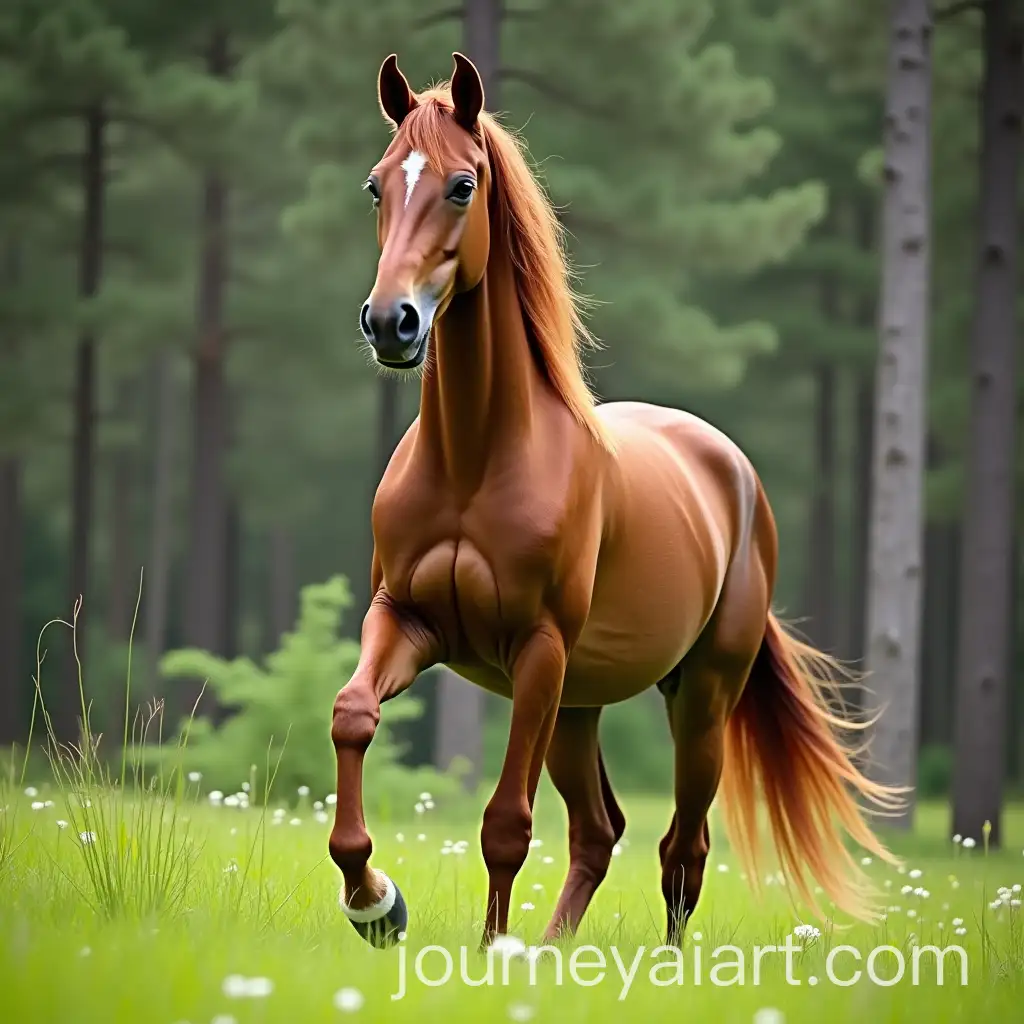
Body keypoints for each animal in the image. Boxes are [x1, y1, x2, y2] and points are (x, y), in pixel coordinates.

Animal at [328, 52, 903, 950]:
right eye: (376, 185)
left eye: (462, 185)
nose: (392, 323)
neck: (474, 461)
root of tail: (735, 474)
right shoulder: (407, 620)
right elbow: (352, 716)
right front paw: (375, 900)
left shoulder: (537, 648)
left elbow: (505, 823)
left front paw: (486, 953)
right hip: (578, 704)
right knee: (600, 833)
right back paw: (550, 949)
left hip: (697, 699)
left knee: (682, 846)